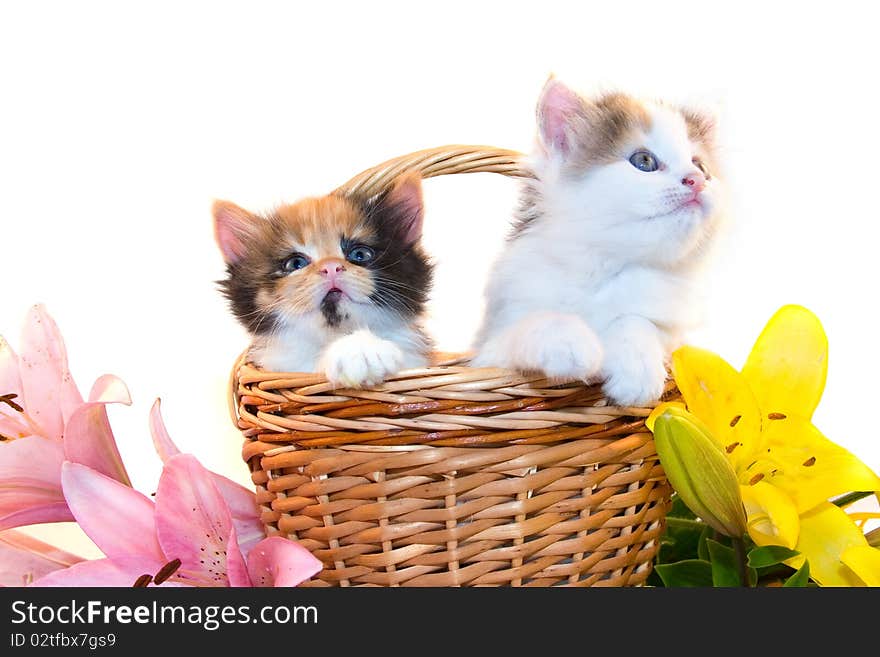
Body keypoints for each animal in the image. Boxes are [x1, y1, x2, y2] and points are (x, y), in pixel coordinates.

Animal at [214, 173, 434, 384]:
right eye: (295, 263)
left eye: (360, 254)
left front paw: (360, 347)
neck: (332, 337)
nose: (330, 267)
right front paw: (358, 351)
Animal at [470, 77, 724, 404]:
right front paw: (569, 343)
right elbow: (538, 321)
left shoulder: (674, 333)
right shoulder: (488, 352)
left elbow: (636, 321)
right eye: (644, 161)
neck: (605, 265)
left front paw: (637, 368)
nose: (697, 180)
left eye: (701, 166)